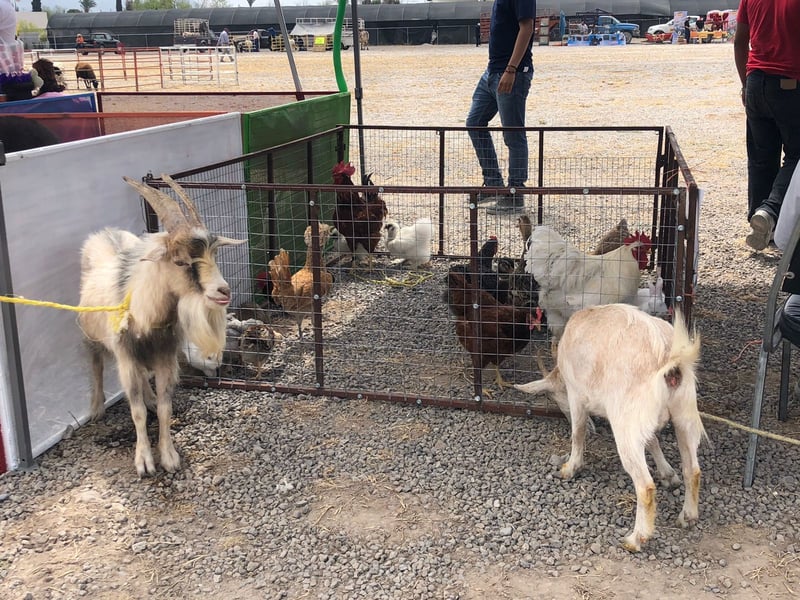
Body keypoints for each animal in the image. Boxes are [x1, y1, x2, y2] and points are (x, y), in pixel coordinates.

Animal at [80, 175, 247, 478]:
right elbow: (136, 412)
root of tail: (106, 234)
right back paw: (97, 408)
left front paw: (169, 457)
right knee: (96, 364)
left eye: (214, 255)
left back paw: (148, 396)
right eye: (180, 261)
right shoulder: (126, 358)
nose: (223, 291)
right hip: (91, 336)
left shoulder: (165, 358)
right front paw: (144, 462)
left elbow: (164, 408)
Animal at [512, 304, 708, 552]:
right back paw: (687, 517)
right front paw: (668, 474)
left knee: (645, 486)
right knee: (692, 469)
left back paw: (636, 539)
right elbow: (653, 440)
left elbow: (578, 433)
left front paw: (570, 468)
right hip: (683, 413)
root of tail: (668, 357)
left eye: (556, 397)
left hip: (626, 422)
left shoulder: (577, 395)